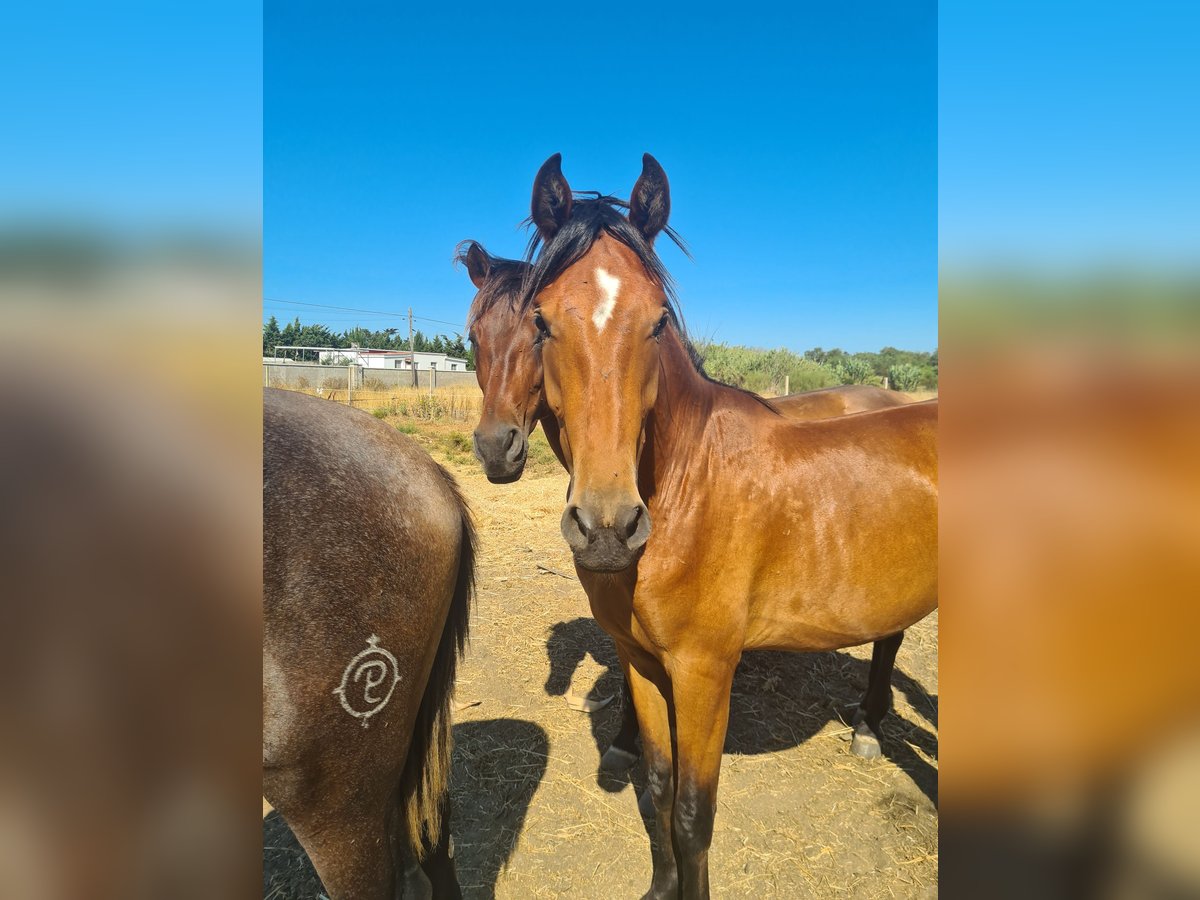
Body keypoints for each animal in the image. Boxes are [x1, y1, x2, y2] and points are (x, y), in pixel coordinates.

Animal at [458, 241, 907, 777]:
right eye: (473, 336)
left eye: (534, 333)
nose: (495, 448)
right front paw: (629, 740)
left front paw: (628, 741)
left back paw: (868, 726)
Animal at [516, 157, 936, 900]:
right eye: (541, 319)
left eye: (657, 321)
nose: (607, 526)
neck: (688, 484)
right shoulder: (642, 662)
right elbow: (656, 788)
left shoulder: (705, 673)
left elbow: (692, 813)